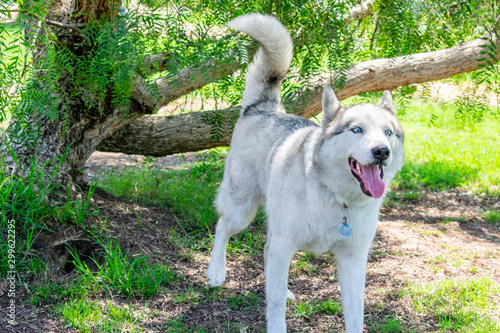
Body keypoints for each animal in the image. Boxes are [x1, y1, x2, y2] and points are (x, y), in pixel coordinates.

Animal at [207, 13, 406, 332]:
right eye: (357, 130)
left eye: (388, 133)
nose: (381, 151)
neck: (338, 199)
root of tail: (264, 109)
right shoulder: (284, 243)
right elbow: (275, 307)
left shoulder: (353, 259)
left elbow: (355, 314)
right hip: (242, 208)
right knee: (223, 227)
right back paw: (216, 271)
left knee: (266, 250)